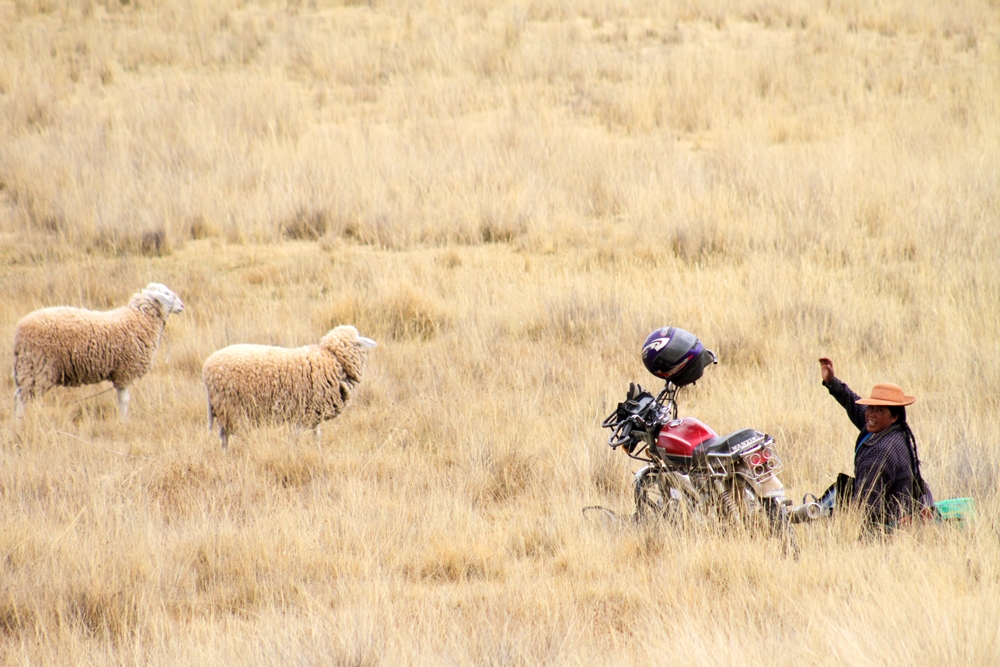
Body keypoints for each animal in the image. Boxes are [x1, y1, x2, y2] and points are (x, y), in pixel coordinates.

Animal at [13, 284, 186, 420]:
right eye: (167, 294)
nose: (182, 306)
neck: (139, 319)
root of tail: (19, 330)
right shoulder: (124, 371)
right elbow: (124, 400)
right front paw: (124, 421)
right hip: (37, 366)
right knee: (23, 399)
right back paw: (22, 422)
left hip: (28, 368)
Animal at [201, 324, 376, 448]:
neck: (332, 358)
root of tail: (207, 367)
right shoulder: (304, 411)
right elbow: (297, 437)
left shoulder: (311, 414)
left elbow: (316, 436)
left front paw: (318, 452)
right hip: (232, 408)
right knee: (228, 437)